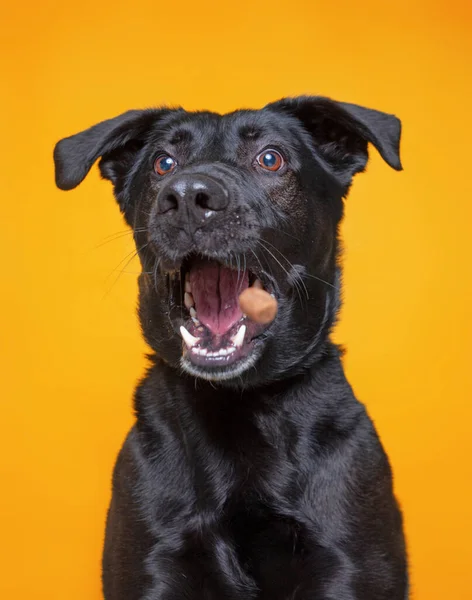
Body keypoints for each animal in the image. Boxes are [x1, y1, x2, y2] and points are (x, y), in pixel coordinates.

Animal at [54, 98, 410, 600]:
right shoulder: (153, 564)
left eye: (270, 158)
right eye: (164, 163)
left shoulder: (346, 565)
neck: (238, 405)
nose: (187, 196)